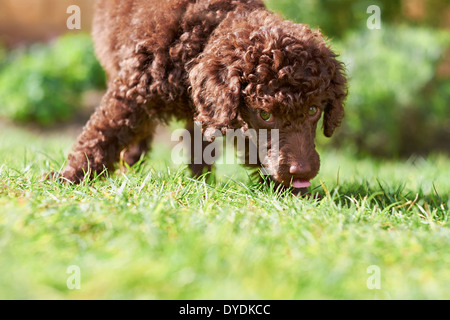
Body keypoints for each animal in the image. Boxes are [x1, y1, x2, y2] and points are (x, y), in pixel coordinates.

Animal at [59, 0, 348, 194]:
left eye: (312, 110)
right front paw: (65, 179)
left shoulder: (218, 110)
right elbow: (102, 134)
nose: (303, 172)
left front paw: (293, 194)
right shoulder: (132, 90)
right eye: (265, 114)